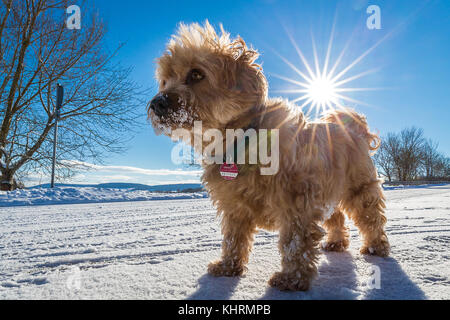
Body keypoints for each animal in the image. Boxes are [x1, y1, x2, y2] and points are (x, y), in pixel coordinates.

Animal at [149, 21, 390, 292]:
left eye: (196, 74)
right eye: (165, 80)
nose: (157, 103)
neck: (240, 142)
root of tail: (354, 126)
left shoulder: (298, 203)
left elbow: (295, 244)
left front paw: (292, 279)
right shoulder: (234, 207)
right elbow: (233, 238)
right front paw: (228, 267)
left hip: (359, 188)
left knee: (371, 218)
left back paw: (376, 247)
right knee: (336, 217)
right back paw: (337, 242)